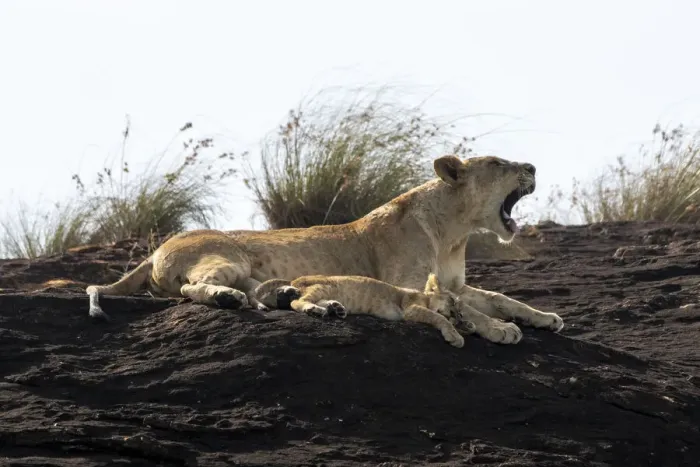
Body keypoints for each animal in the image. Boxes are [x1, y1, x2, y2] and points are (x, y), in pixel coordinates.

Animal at [252, 273, 477, 348]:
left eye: (460, 311)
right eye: (452, 301)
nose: (457, 315)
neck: (422, 296)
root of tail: (294, 279)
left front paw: (468, 325)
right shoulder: (410, 309)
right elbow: (439, 318)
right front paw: (455, 336)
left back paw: (336, 309)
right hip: (323, 285)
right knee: (297, 302)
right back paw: (313, 310)